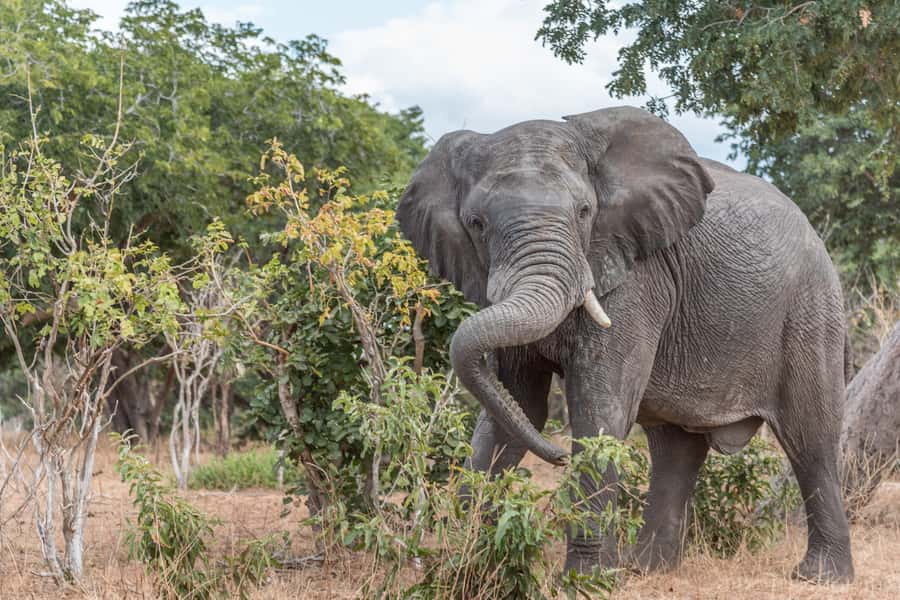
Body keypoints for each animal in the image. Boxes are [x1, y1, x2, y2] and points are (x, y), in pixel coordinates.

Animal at [396, 106, 853, 583]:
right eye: (477, 224)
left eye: (584, 212)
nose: (556, 458)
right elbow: (518, 406)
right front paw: (466, 566)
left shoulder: (636, 277)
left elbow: (599, 409)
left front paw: (584, 581)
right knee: (676, 448)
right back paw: (647, 569)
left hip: (810, 310)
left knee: (810, 438)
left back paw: (820, 576)